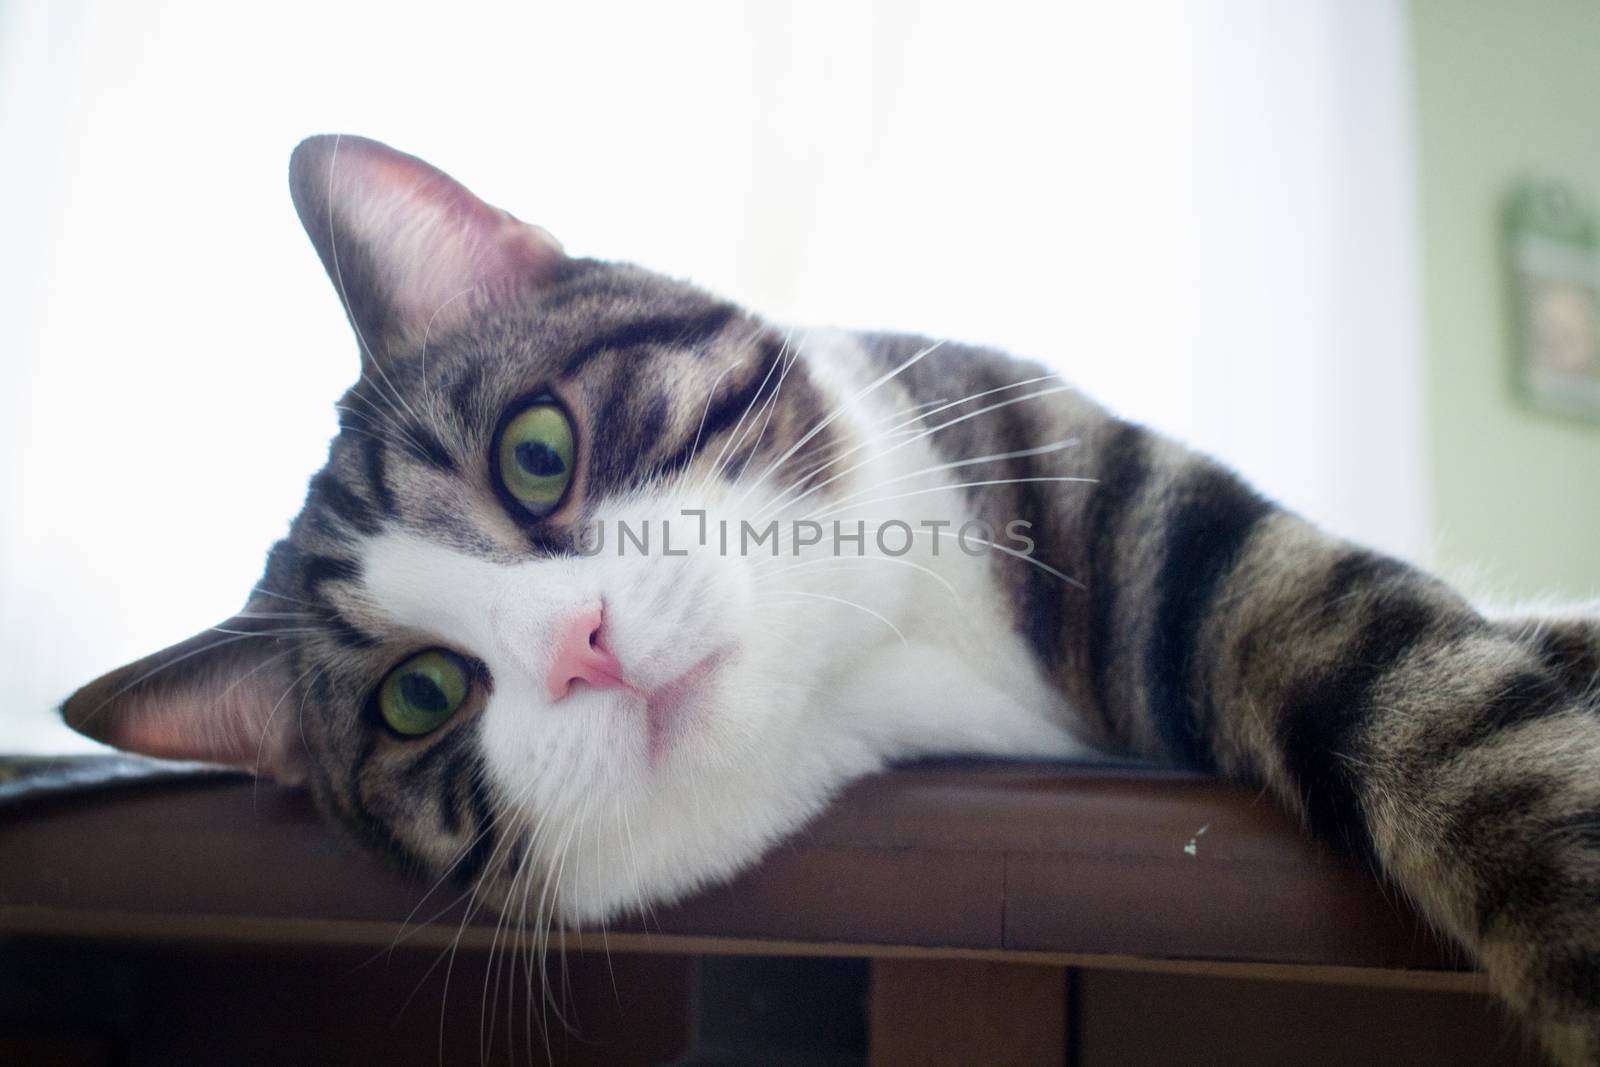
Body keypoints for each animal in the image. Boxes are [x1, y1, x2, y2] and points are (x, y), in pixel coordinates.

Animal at [68, 137, 1600, 1062]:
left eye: (536, 452)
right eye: (422, 694)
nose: (579, 645)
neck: (879, 659)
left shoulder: (1083, 479)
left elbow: (1415, 681)